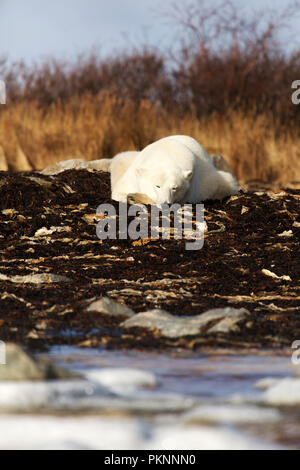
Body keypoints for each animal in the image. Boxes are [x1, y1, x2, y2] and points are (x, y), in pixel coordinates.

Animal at [110, 134, 239, 204]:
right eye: (157, 186)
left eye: (174, 188)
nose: (165, 203)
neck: (166, 154)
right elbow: (119, 191)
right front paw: (132, 196)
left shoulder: (190, 186)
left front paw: (137, 197)